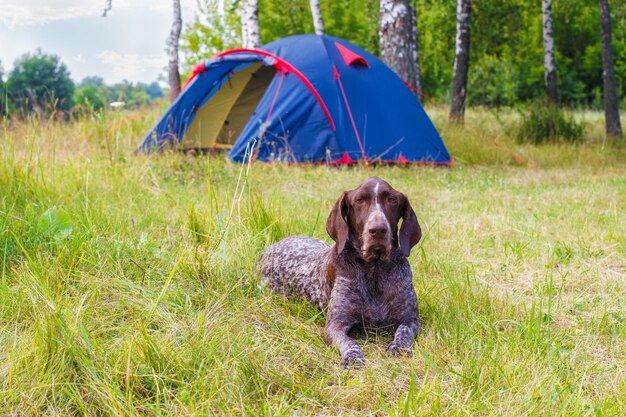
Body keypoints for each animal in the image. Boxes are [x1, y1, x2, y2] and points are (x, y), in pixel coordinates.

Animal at [256, 177, 422, 366]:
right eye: (359, 200)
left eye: (392, 200)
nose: (378, 229)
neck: (375, 268)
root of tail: (269, 248)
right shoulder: (335, 326)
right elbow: (350, 342)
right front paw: (353, 356)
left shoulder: (410, 320)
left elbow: (403, 332)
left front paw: (398, 348)